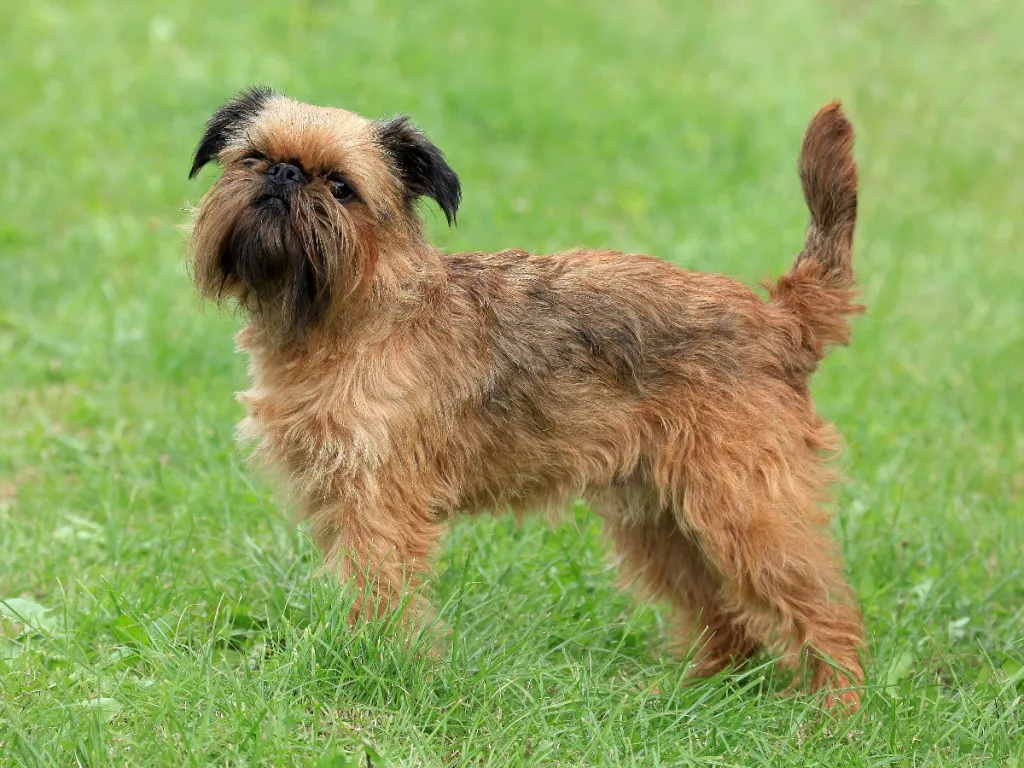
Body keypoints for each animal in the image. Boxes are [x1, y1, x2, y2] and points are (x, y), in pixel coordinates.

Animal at [184, 88, 864, 708]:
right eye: (252, 157)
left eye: (341, 187)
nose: (284, 173)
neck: (354, 313)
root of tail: (779, 320)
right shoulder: (336, 498)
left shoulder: (377, 505)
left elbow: (377, 591)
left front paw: (372, 669)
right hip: (661, 519)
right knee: (725, 616)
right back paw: (692, 695)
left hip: (747, 510)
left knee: (827, 612)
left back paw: (834, 714)